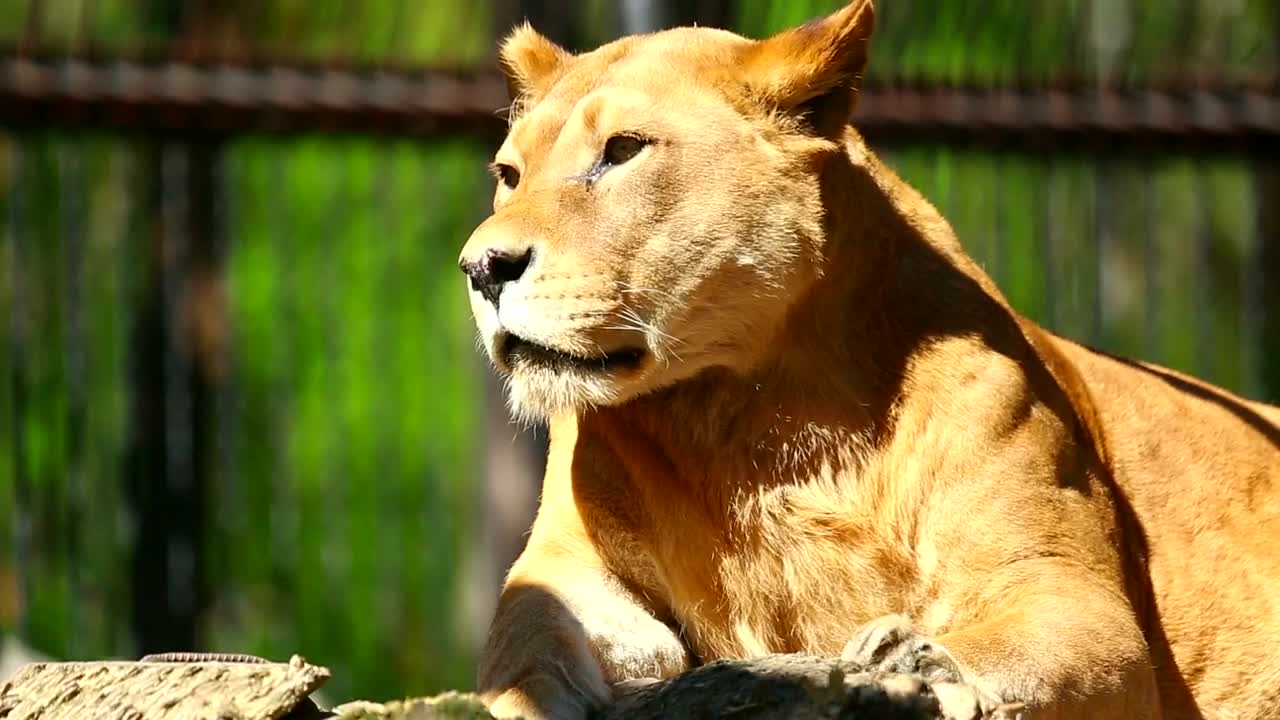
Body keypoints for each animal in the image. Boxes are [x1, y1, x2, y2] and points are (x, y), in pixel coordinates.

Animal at [455, 2, 1280, 718]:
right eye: (509, 175)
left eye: (622, 151)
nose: (482, 267)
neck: (748, 419)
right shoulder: (566, 566)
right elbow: (527, 646)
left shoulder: (1073, 597)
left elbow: (1022, 647)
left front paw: (914, 662)